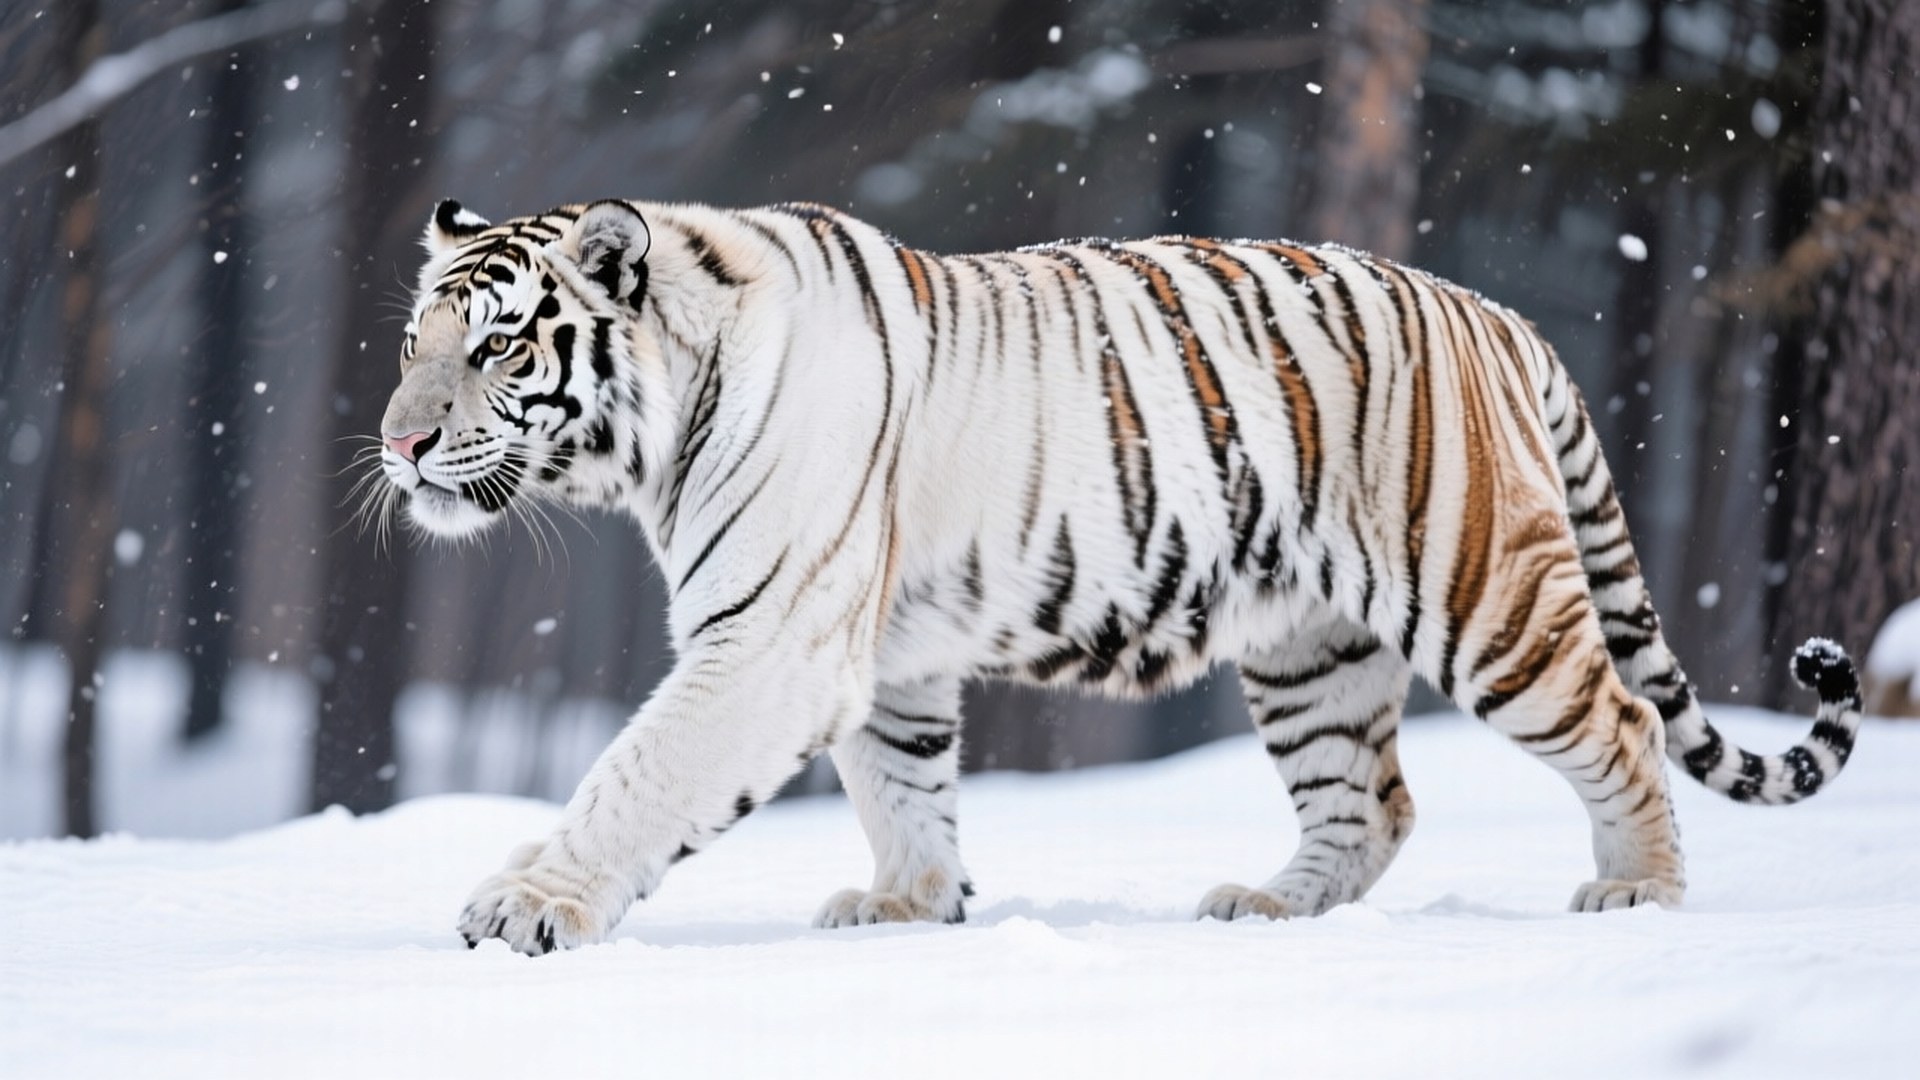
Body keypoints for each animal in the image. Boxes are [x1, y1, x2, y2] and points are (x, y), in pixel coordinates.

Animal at [373, 197, 1865, 956]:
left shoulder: (773, 635)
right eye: (411, 341)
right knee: (1371, 799)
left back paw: (1638, 896)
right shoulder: (881, 650)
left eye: (498, 347)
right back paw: (1267, 908)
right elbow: (899, 783)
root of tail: (1496, 314)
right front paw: (911, 906)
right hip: (1308, 648)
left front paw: (526, 905)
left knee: (1621, 723)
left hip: (1482, 596)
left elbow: (637, 776)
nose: (398, 443)